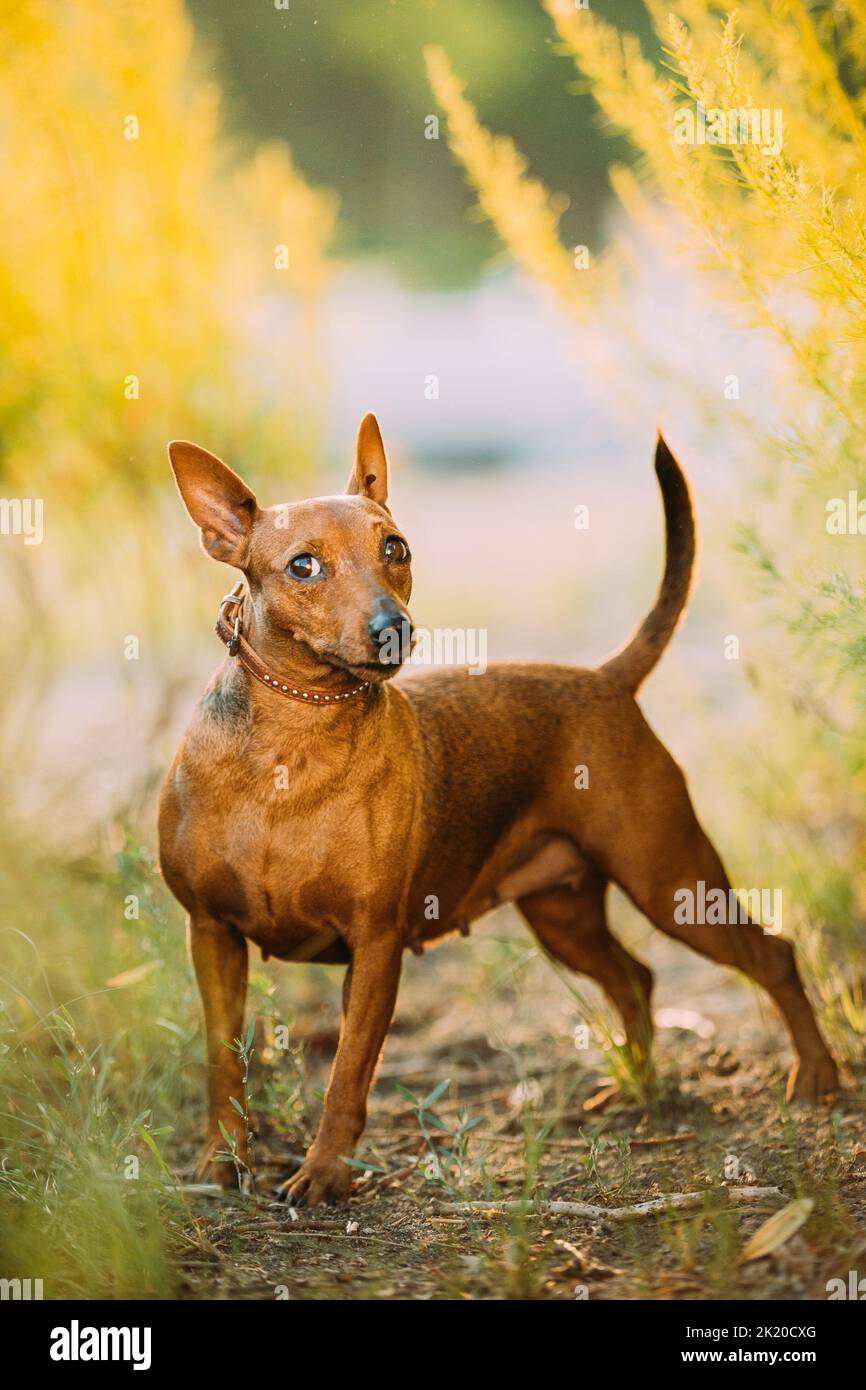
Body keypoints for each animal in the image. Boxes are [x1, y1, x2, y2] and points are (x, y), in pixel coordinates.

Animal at [161, 411, 839, 1206]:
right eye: (303, 567)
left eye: (395, 549)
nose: (394, 626)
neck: (289, 751)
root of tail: (604, 679)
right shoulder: (212, 936)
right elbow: (223, 1064)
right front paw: (222, 1164)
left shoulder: (375, 946)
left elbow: (347, 1075)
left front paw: (324, 1172)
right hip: (563, 913)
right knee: (635, 978)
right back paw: (638, 1090)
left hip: (672, 883)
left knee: (772, 953)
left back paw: (817, 1075)